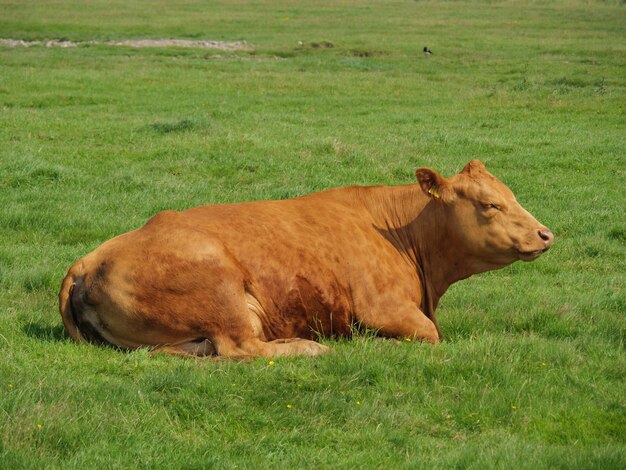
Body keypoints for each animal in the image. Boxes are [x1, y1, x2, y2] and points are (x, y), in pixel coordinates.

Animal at [58, 160, 552, 358]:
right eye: (490, 204)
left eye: (511, 195)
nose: (545, 234)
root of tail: (87, 261)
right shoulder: (386, 308)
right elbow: (429, 335)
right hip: (222, 291)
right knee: (243, 349)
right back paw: (310, 348)